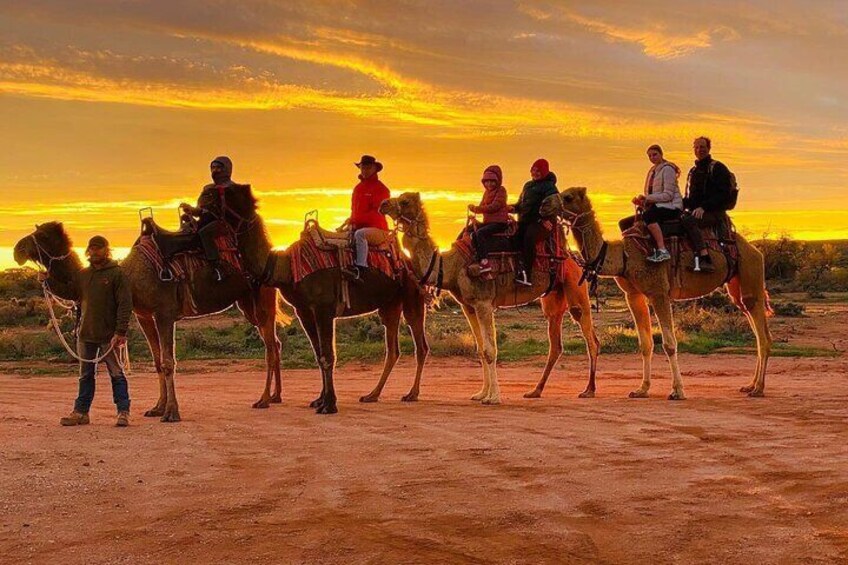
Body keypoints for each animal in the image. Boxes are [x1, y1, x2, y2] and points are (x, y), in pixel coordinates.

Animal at [14, 185, 284, 418]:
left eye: (42, 235)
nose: (17, 250)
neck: (129, 276)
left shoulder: (164, 312)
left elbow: (168, 361)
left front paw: (172, 412)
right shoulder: (144, 314)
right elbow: (156, 362)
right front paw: (157, 408)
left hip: (262, 297)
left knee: (270, 347)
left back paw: (263, 399)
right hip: (246, 302)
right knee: (276, 343)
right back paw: (276, 396)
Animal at [380, 192, 600, 404]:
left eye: (405, 201)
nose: (383, 204)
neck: (451, 266)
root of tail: (575, 257)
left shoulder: (483, 303)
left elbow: (489, 350)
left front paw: (493, 397)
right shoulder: (468, 306)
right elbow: (480, 350)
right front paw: (481, 394)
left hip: (576, 289)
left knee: (591, 338)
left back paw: (588, 390)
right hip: (553, 298)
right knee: (555, 344)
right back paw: (535, 391)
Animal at [540, 187, 772, 398]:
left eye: (568, 197)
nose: (543, 205)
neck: (623, 257)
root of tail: (753, 249)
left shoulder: (659, 292)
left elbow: (669, 344)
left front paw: (677, 391)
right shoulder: (633, 295)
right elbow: (645, 344)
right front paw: (641, 389)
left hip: (750, 271)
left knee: (762, 334)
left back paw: (759, 389)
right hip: (736, 284)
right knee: (751, 320)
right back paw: (750, 386)